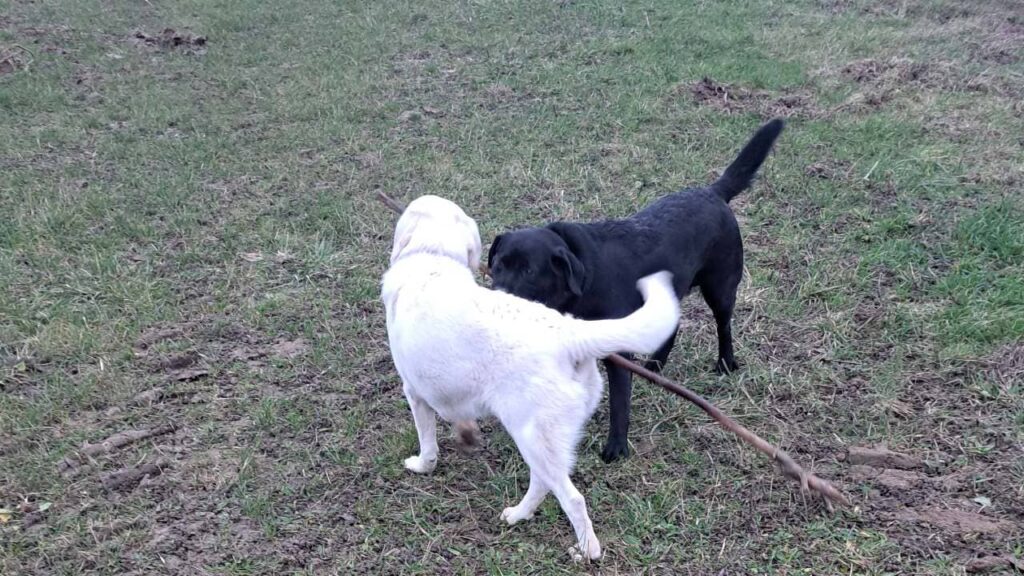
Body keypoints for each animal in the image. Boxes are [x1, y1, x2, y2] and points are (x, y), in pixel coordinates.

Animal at [378, 194, 679, 557]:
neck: (432, 255)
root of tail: (569, 332)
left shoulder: (415, 391)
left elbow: (428, 443)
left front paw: (422, 465)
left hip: (532, 435)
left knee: (571, 498)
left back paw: (585, 550)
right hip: (540, 437)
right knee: (543, 483)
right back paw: (519, 514)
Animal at [487, 118, 782, 459]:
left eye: (529, 271)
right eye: (497, 265)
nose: (495, 299)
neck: (582, 281)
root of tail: (713, 192)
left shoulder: (617, 353)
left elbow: (619, 401)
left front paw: (616, 447)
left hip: (720, 288)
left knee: (724, 325)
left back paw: (725, 363)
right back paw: (655, 365)